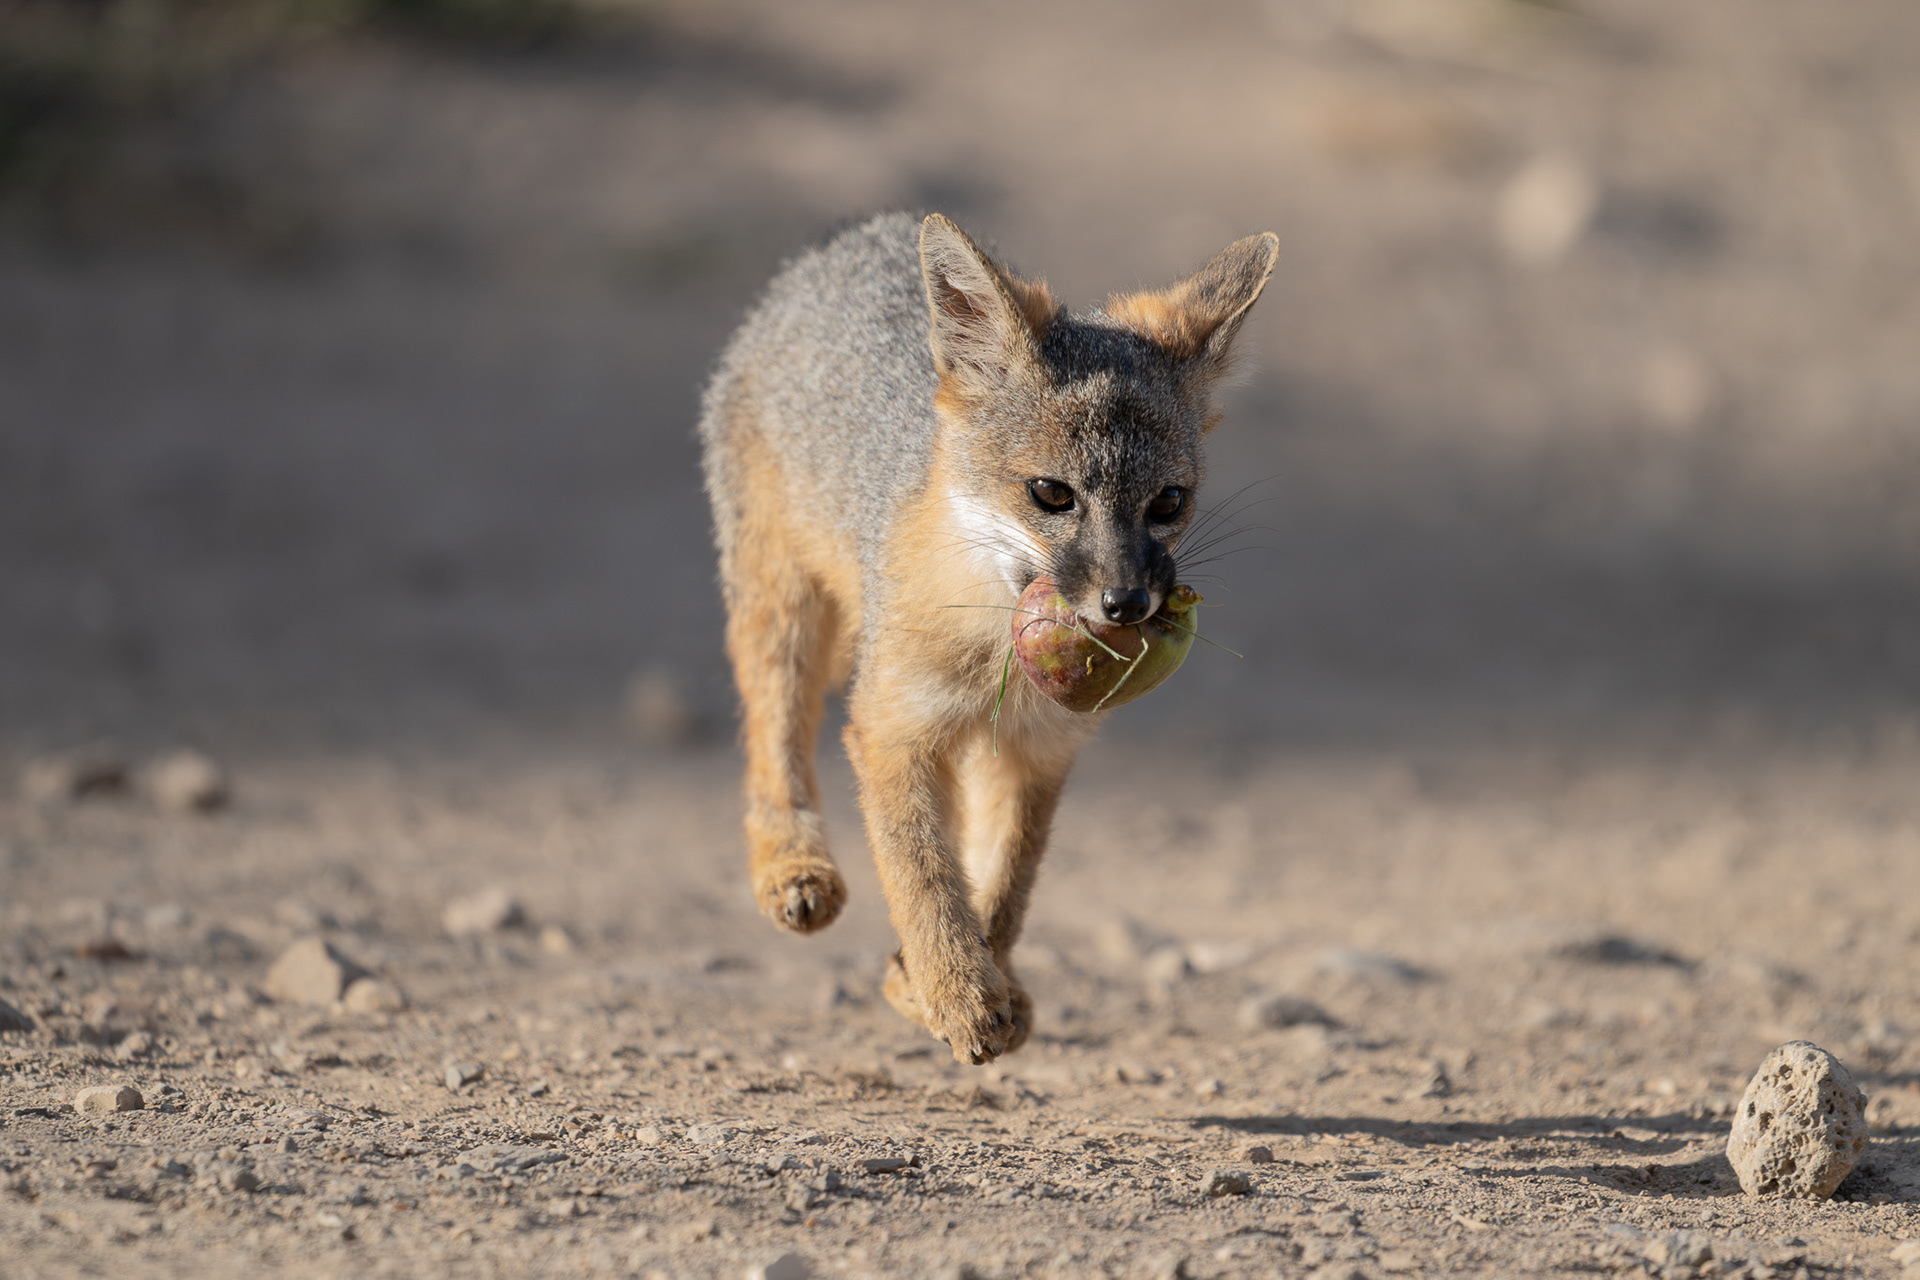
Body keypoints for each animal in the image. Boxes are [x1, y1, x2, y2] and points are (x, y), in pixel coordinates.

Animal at [700, 211, 1278, 1065]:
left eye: (1170, 503)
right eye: (1051, 494)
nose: (1126, 601)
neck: (994, 664)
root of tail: (854, 238)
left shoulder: (1037, 752)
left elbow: (1003, 883)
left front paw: (947, 981)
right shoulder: (894, 729)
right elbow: (924, 876)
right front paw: (955, 991)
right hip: (784, 616)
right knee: (774, 740)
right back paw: (794, 867)